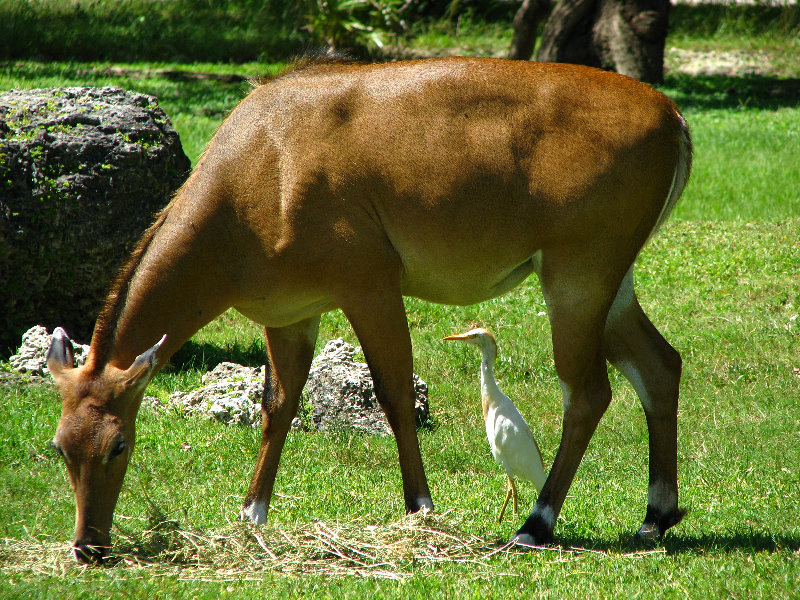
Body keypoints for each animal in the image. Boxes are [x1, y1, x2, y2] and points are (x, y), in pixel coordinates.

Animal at [47, 52, 692, 564]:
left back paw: (536, 524)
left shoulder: (370, 285)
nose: (88, 547)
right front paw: (253, 514)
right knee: (660, 366)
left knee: (588, 392)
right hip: (613, 285)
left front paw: (419, 507)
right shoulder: (288, 314)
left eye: (118, 445)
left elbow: (395, 394)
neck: (260, 170)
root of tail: (675, 121)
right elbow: (277, 406)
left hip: (578, 276)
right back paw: (654, 517)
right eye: (60, 447)